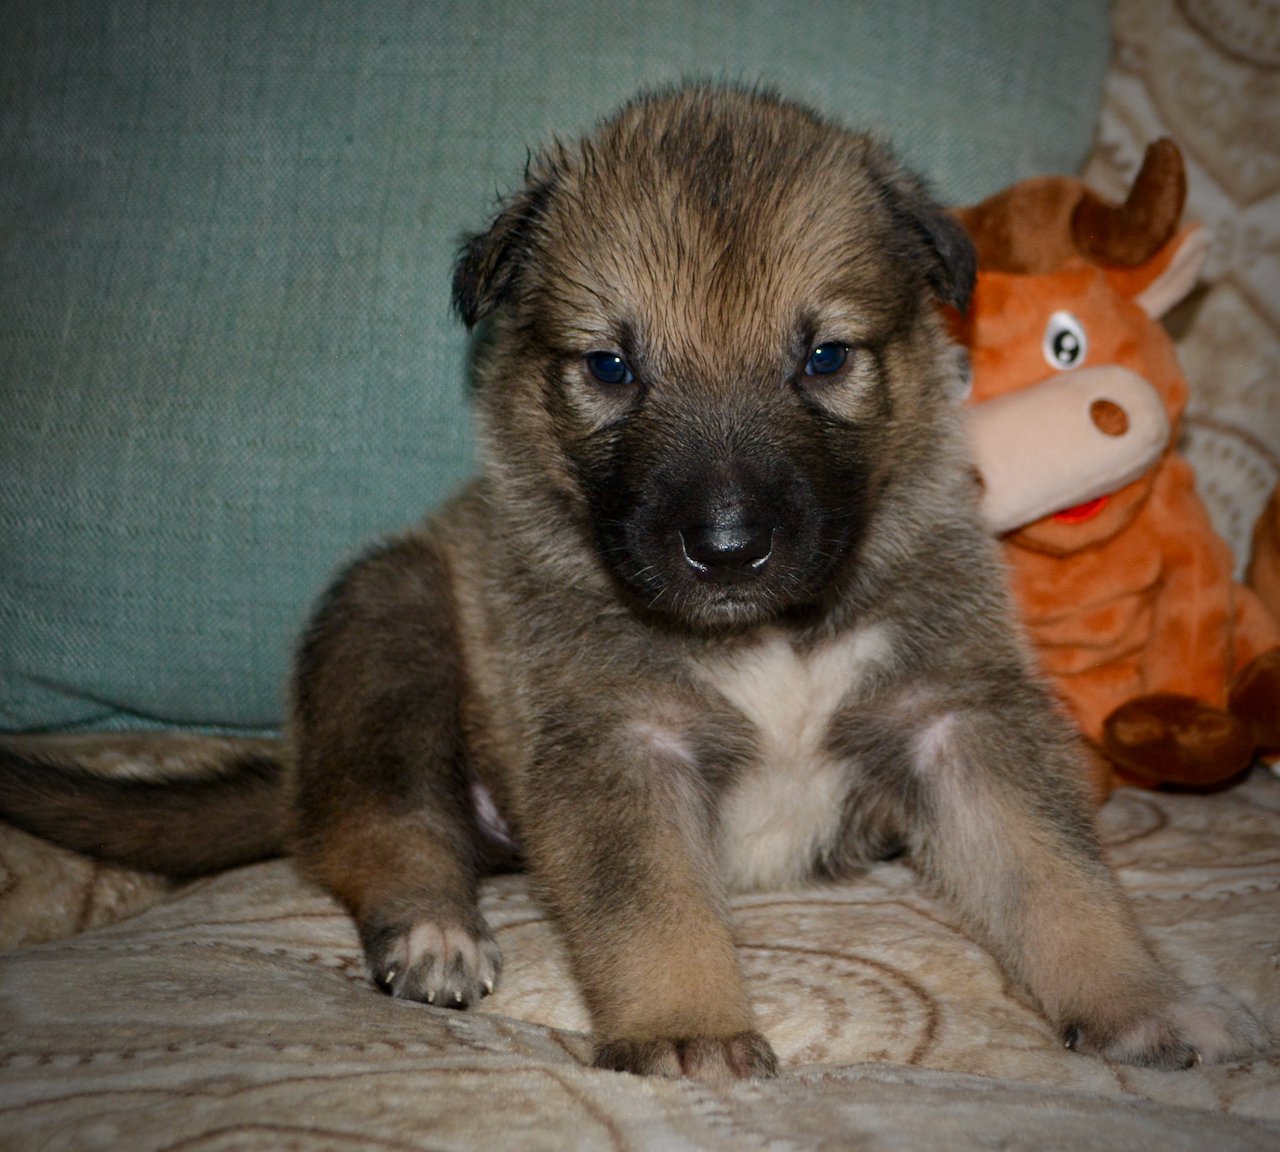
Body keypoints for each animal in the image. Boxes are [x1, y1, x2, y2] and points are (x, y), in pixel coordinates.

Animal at [0, 87, 1259, 1080]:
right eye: (610, 366)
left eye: (823, 358)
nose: (726, 545)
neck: (766, 637)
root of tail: (298, 773)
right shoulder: (617, 744)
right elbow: (653, 909)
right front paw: (684, 1027)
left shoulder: (956, 717)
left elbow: (1056, 881)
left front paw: (1136, 1003)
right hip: (388, 634)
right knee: (382, 832)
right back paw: (433, 930)